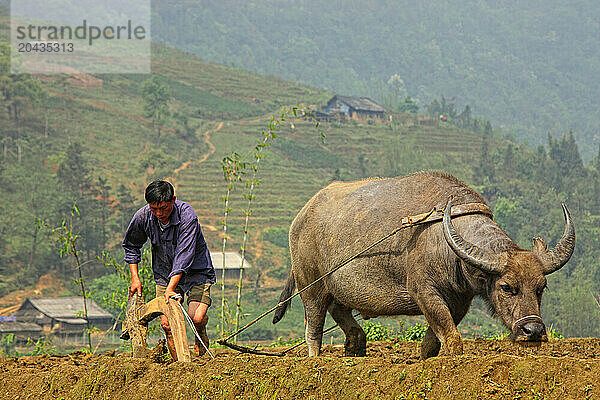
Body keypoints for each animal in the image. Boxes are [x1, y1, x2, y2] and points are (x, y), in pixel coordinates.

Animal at [274, 170, 576, 358]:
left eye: (541, 288)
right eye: (506, 287)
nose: (533, 331)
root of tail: (300, 218)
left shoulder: (459, 301)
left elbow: (433, 340)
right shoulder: (423, 292)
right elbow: (452, 338)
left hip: (339, 289)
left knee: (341, 312)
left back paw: (356, 346)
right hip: (310, 285)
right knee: (314, 327)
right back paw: (316, 358)